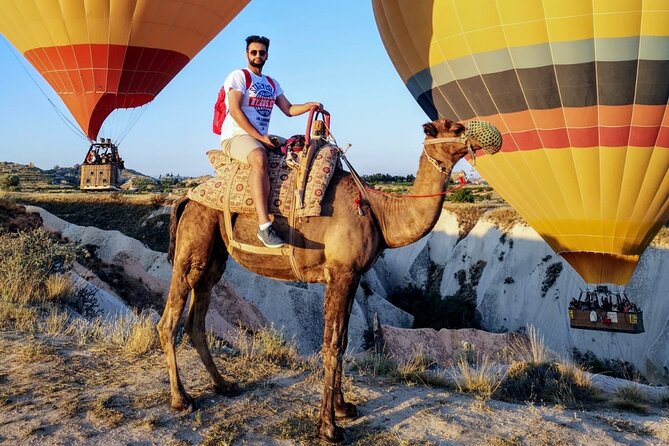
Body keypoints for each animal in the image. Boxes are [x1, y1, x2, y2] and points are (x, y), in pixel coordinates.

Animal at [157, 118, 501, 443]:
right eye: (454, 127)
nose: (490, 136)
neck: (378, 212)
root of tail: (185, 199)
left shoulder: (352, 275)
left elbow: (344, 340)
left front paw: (343, 407)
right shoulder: (340, 272)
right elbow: (332, 344)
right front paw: (329, 428)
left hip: (213, 258)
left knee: (196, 319)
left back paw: (224, 385)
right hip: (193, 245)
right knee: (169, 320)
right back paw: (181, 399)